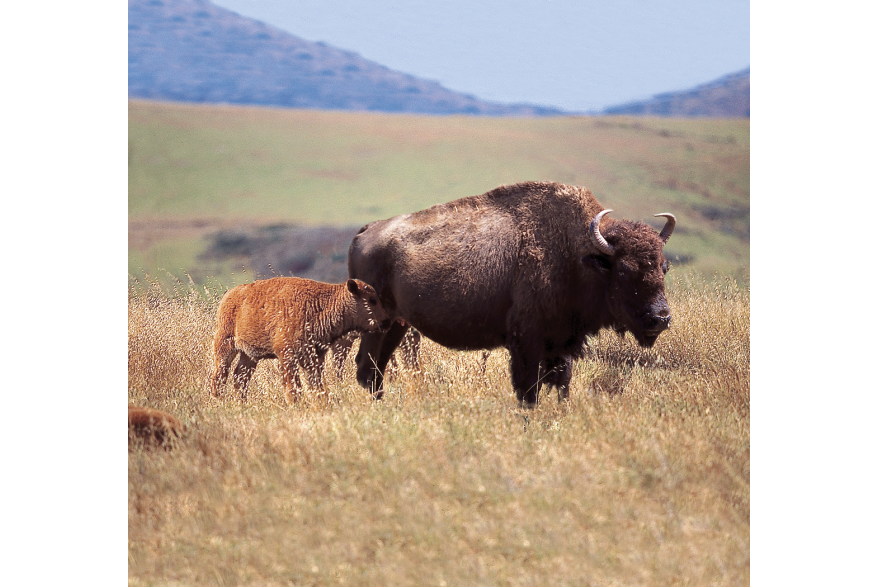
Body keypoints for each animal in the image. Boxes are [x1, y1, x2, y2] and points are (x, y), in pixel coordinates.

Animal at [207, 276, 388, 404]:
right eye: (372, 300)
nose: (386, 321)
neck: (323, 303)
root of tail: (229, 295)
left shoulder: (315, 357)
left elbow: (316, 383)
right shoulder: (287, 356)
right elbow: (293, 388)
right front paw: (296, 404)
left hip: (249, 355)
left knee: (240, 378)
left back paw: (242, 403)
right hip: (225, 346)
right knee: (220, 376)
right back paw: (217, 401)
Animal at [346, 181, 676, 406]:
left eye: (664, 266)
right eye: (623, 271)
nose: (660, 318)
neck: (576, 253)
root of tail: (366, 231)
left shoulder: (562, 342)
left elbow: (562, 385)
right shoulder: (526, 341)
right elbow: (528, 391)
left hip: (397, 325)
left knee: (375, 369)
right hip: (379, 325)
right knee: (366, 368)